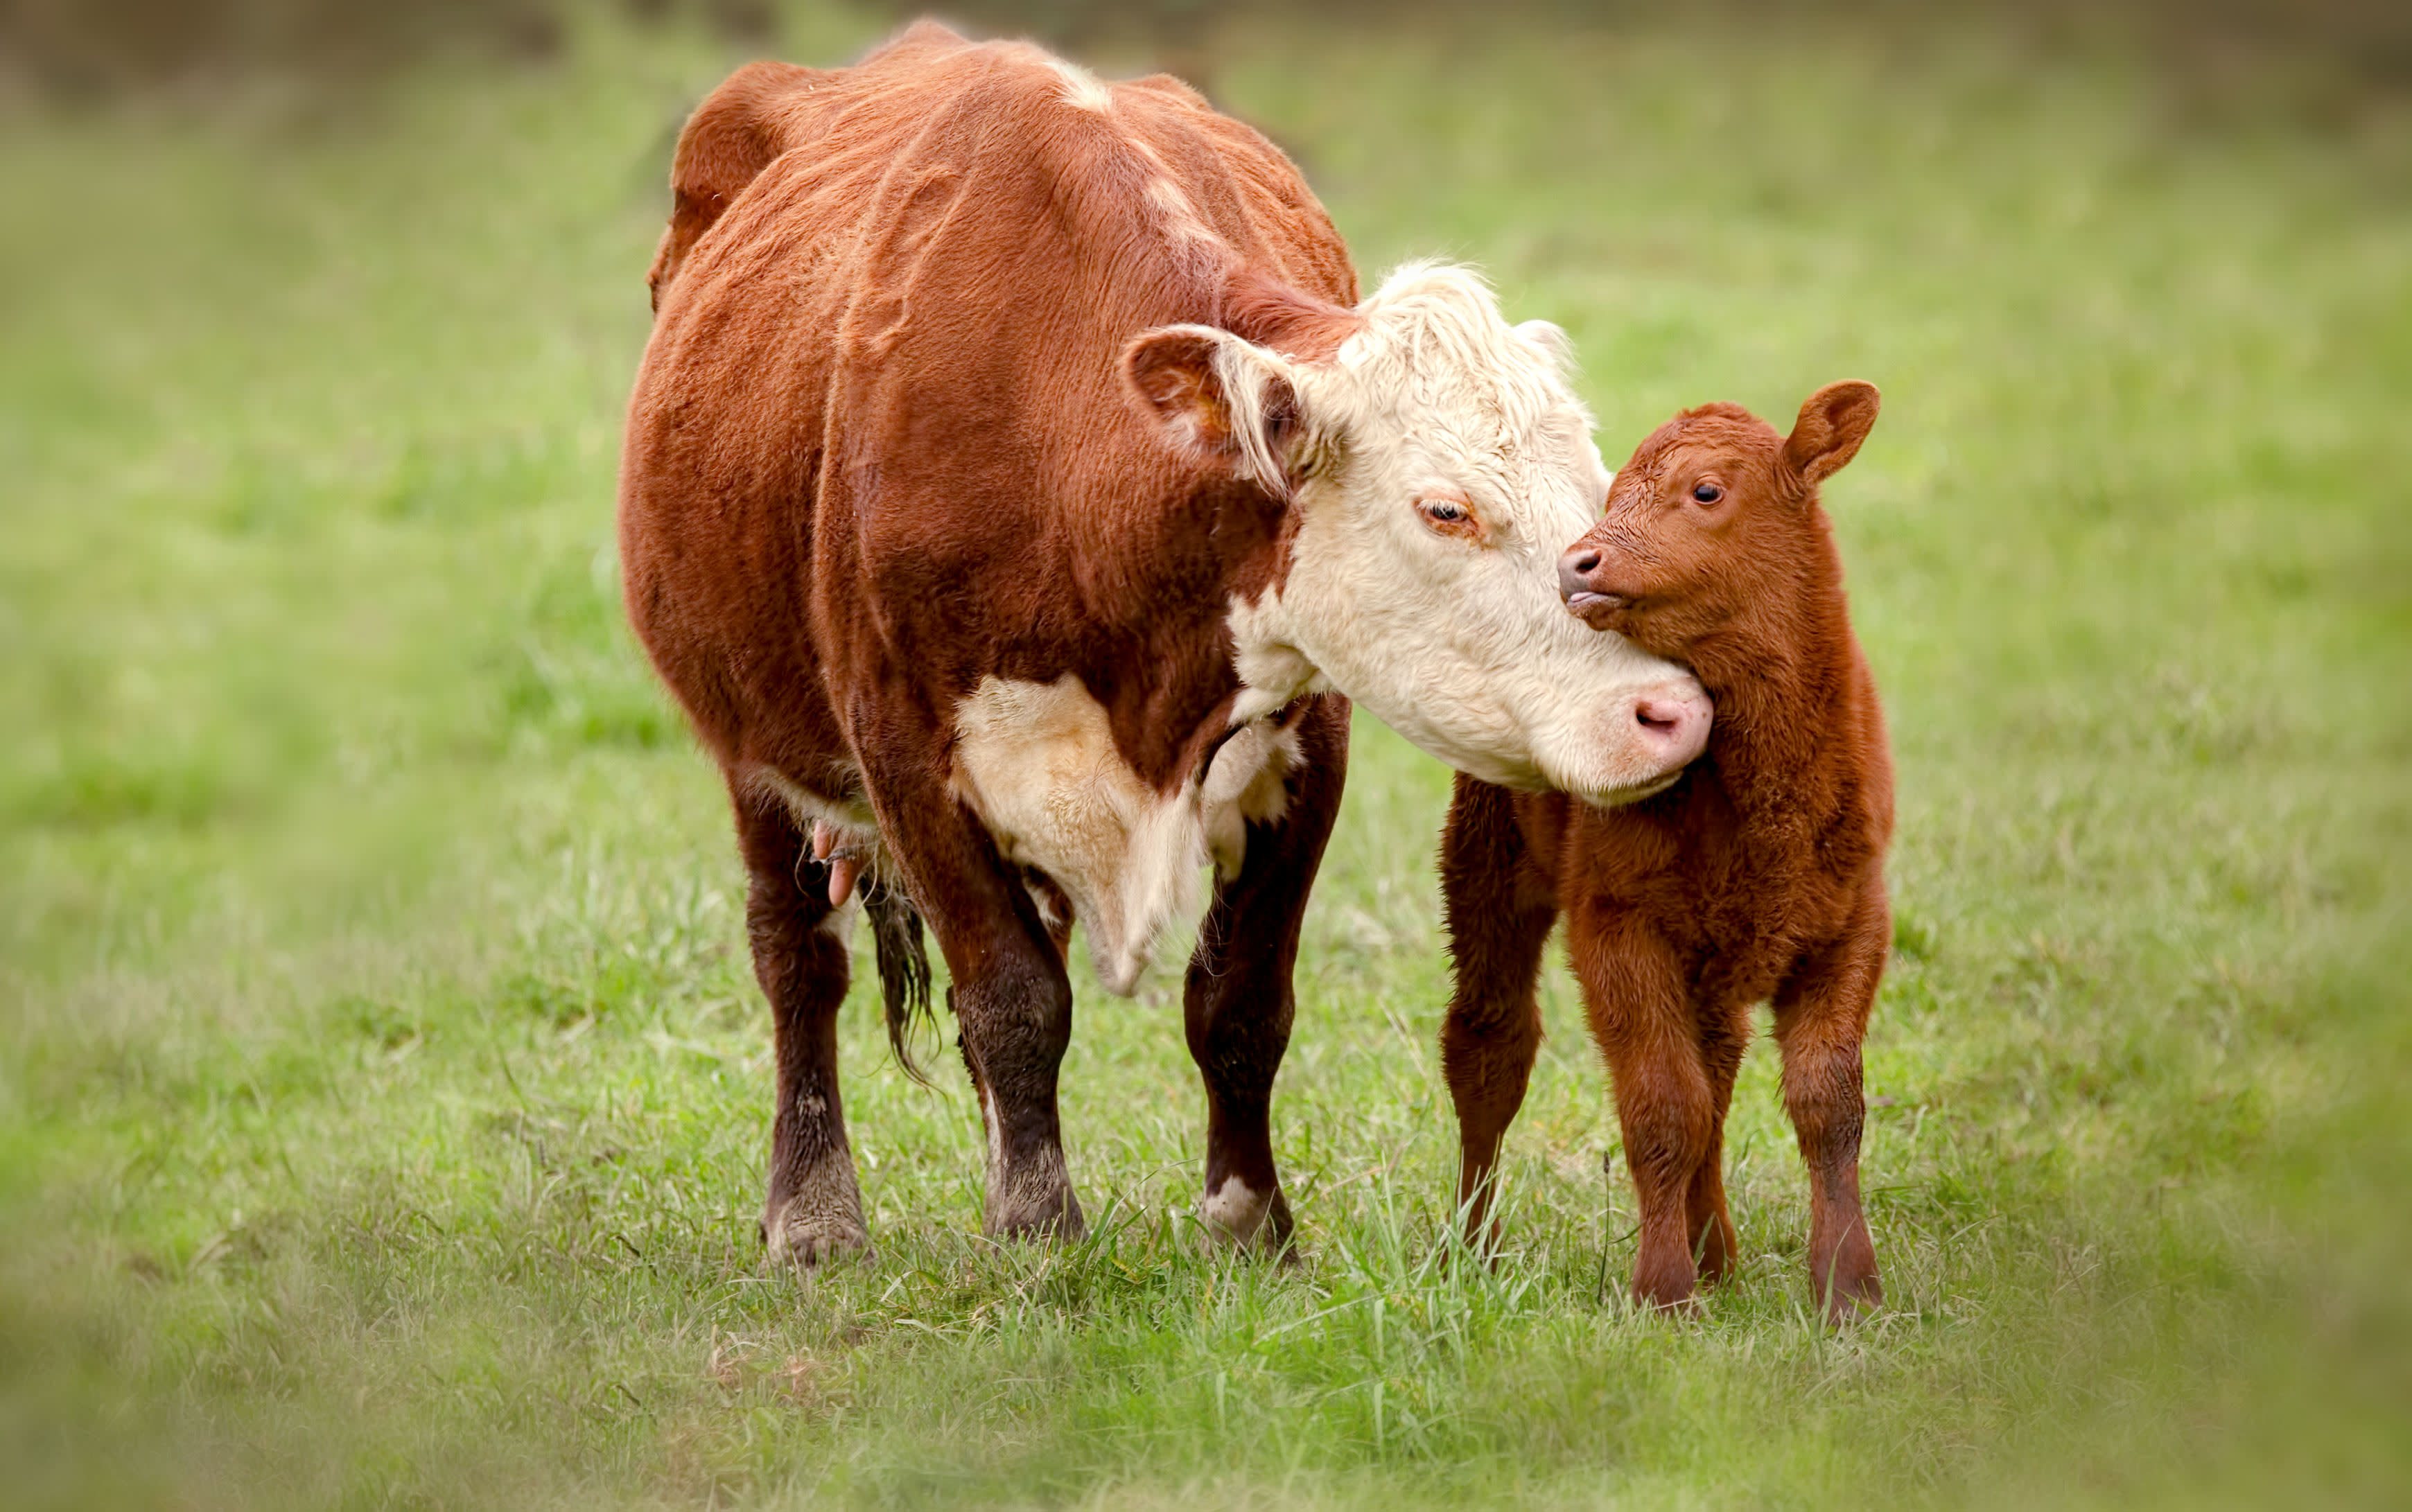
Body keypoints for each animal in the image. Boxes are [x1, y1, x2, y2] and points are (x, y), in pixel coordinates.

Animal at [622, 26, 1717, 1263]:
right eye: (1446, 509)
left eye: (1595, 488)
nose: (1669, 712)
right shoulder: (905, 754)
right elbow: (1013, 998)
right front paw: (1040, 1231)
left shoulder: (1309, 743)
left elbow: (1236, 1001)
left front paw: (1247, 1221)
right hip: (752, 743)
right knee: (797, 954)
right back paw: (813, 1212)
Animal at [1437, 383, 1891, 1321]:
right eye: (1610, 496)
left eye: (1707, 490)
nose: (1578, 563)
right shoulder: (1618, 925)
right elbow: (1661, 1108)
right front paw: (1662, 1291)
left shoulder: (1853, 921)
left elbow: (1827, 1104)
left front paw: (1848, 1285)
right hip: (1487, 861)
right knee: (1490, 1048)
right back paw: (1474, 1250)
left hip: (1716, 955)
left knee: (1716, 1072)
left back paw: (1717, 1252)